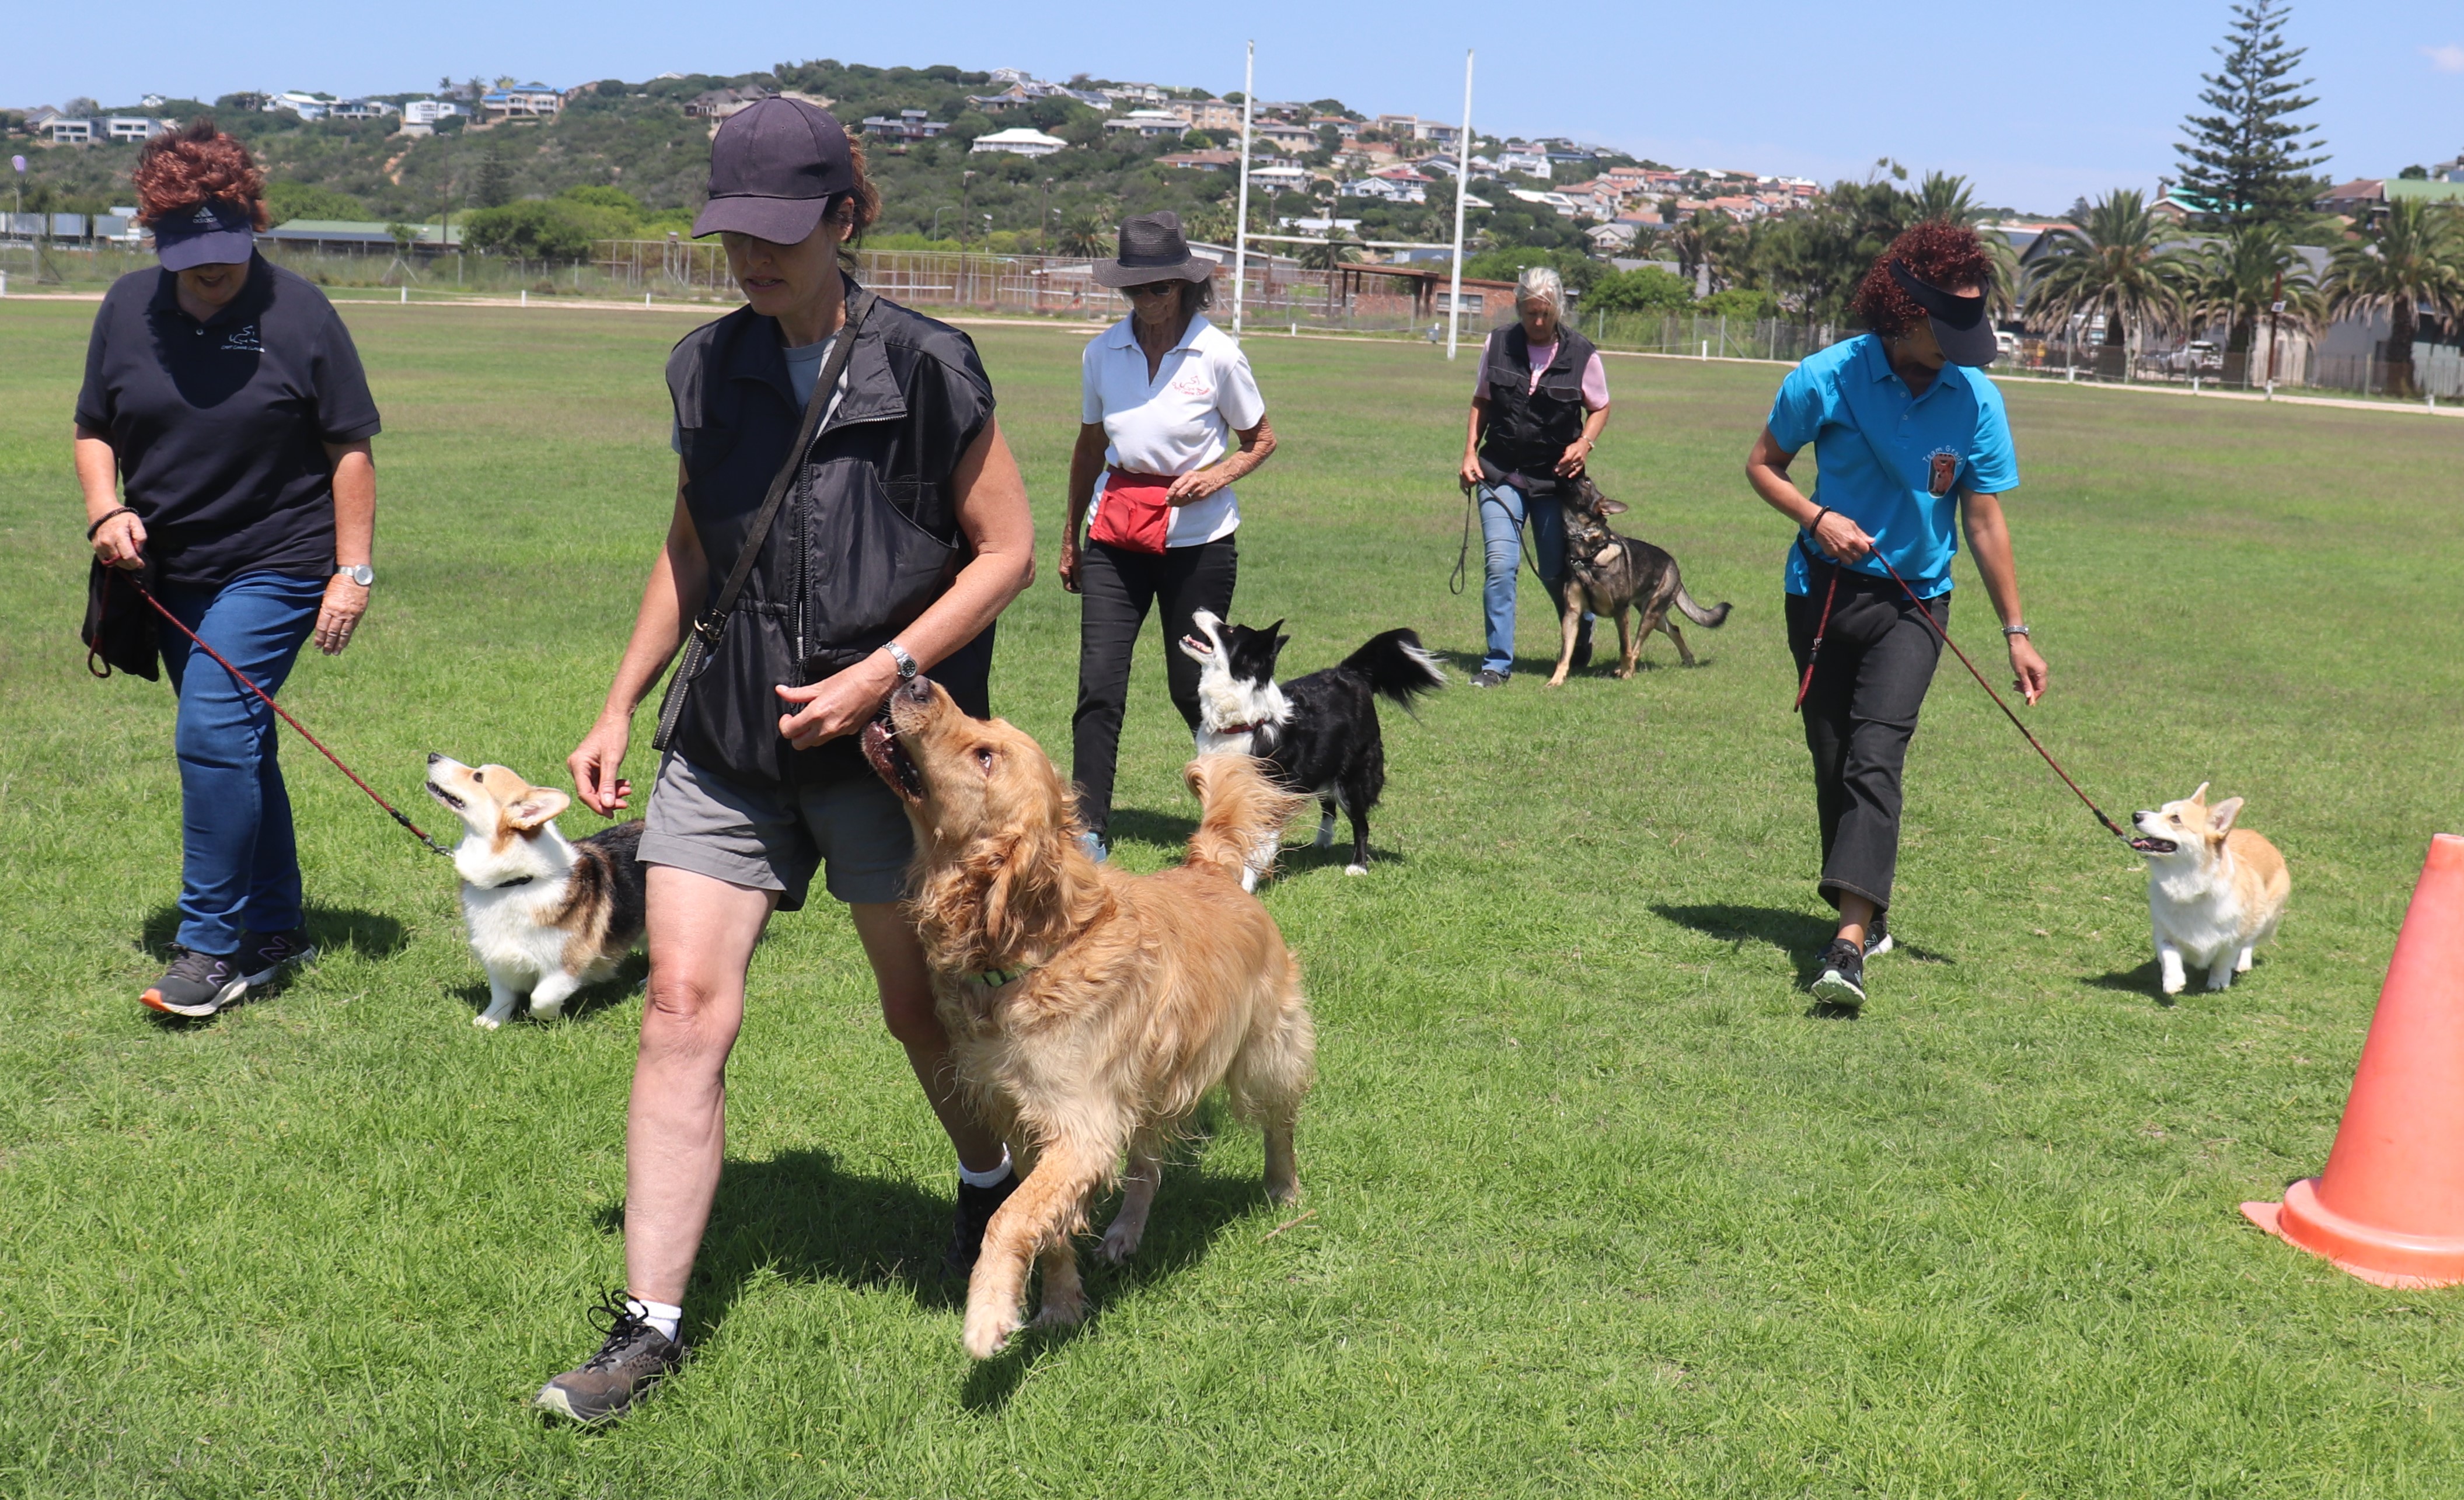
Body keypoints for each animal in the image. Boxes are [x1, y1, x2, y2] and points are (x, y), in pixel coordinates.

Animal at [423, 754, 647, 1029]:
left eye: (478, 777)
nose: (433, 756)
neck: (515, 882)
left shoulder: (567, 964)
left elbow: (541, 998)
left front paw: (550, 1017)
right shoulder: (495, 956)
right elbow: (501, 996)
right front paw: (490, 1022)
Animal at [861, 676, 1316, 1360]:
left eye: (985, 756)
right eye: (983, 729)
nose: (912, 678)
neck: (1031, 955)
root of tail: (1210, 866)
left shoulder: (1082, 1125)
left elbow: (1008, 1217)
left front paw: (988, 1312)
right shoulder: (1028, 1121)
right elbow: (1045, 1224)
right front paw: (1060, 1303)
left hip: (1266, 1051)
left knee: (1279, 1123)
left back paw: (1283, 1190)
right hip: (1153, 1081)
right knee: (1147, 1167)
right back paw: (1125, 1232)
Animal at [1178, 610, 1445, 879]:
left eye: (1230, 630)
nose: (1200, 610)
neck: (1244, 723)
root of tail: (1348, 672)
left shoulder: (1269, 795)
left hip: (1353, 776)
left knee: (1361, 823)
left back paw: (1358, 866)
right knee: (1329, 805)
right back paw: (1323, 841)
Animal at [1548, 476, 1731, 686]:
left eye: (1586, 482)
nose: (1567, 473)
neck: (1587, 554)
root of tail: (1673, 565)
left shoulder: (1621, 612)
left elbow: (1625, 647)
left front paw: (1627, 673)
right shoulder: (1572, 614)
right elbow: (1565, 653)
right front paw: (1556, 680)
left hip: (1650, 613)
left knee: (1637, 646)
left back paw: (1626, 670)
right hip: (1652, 614)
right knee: (1674, 629)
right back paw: (1687, 659)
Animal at [2132, 782, 2290, 996]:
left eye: (2175, 819)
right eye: (2161, 810)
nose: (2136, 815)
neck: (2188, 886)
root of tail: (2259, 836)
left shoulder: (2232, 939)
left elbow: (2223, 960)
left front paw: (2218, 982)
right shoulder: (2164, 933)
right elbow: (2169, 954)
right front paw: (2173, 981)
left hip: (2266, 914)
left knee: (2251, 939)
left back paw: (2242, 963)